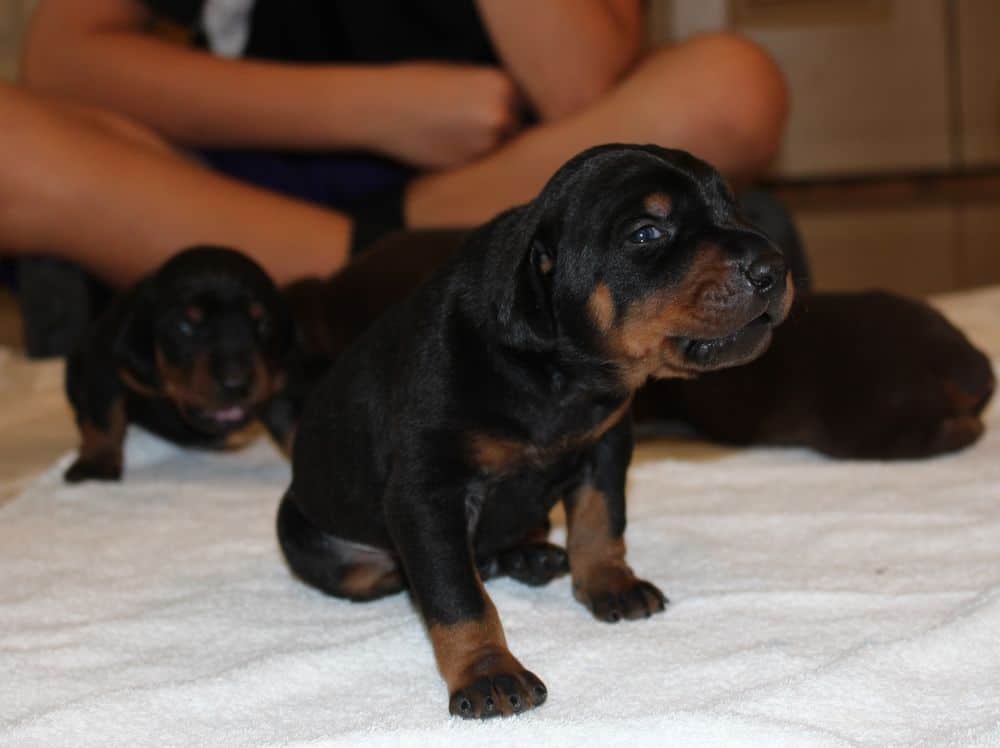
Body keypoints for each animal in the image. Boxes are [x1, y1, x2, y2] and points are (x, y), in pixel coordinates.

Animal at [64, 244, 292, 480]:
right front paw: (97, 461)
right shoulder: (105, 361)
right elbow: (104, 415)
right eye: (185, 326)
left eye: (262, 322)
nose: (235, 384)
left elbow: (289, 421)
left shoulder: (279, 379)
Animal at [278, 145, 792, 720]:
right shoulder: (426, 490)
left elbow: (600, 522)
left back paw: (529, 555)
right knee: (409, 571)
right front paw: (488, 672)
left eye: (732, 208)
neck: (559, 376)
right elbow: (457, 595)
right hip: (309, 538)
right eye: (645, 233)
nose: (774, 269)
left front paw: (609, 583)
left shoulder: (605, 447)